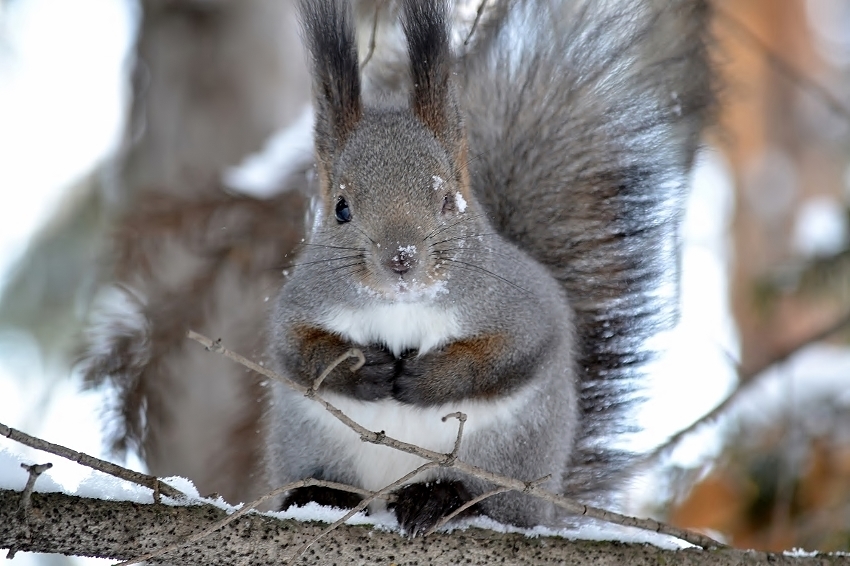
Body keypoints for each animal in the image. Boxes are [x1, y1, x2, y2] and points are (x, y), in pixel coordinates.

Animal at [264, 0, 708, 536]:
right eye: (341, 209)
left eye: (448, 201)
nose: (401, 260)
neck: (401, 308)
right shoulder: (301, 304)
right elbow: (298, 352)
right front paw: (364, 368)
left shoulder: (521, 307)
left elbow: (505, 355)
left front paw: (426, 379)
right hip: (312, 443)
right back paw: (320, 494)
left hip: (507, 455)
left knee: (493, 504)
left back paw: (439, 499)